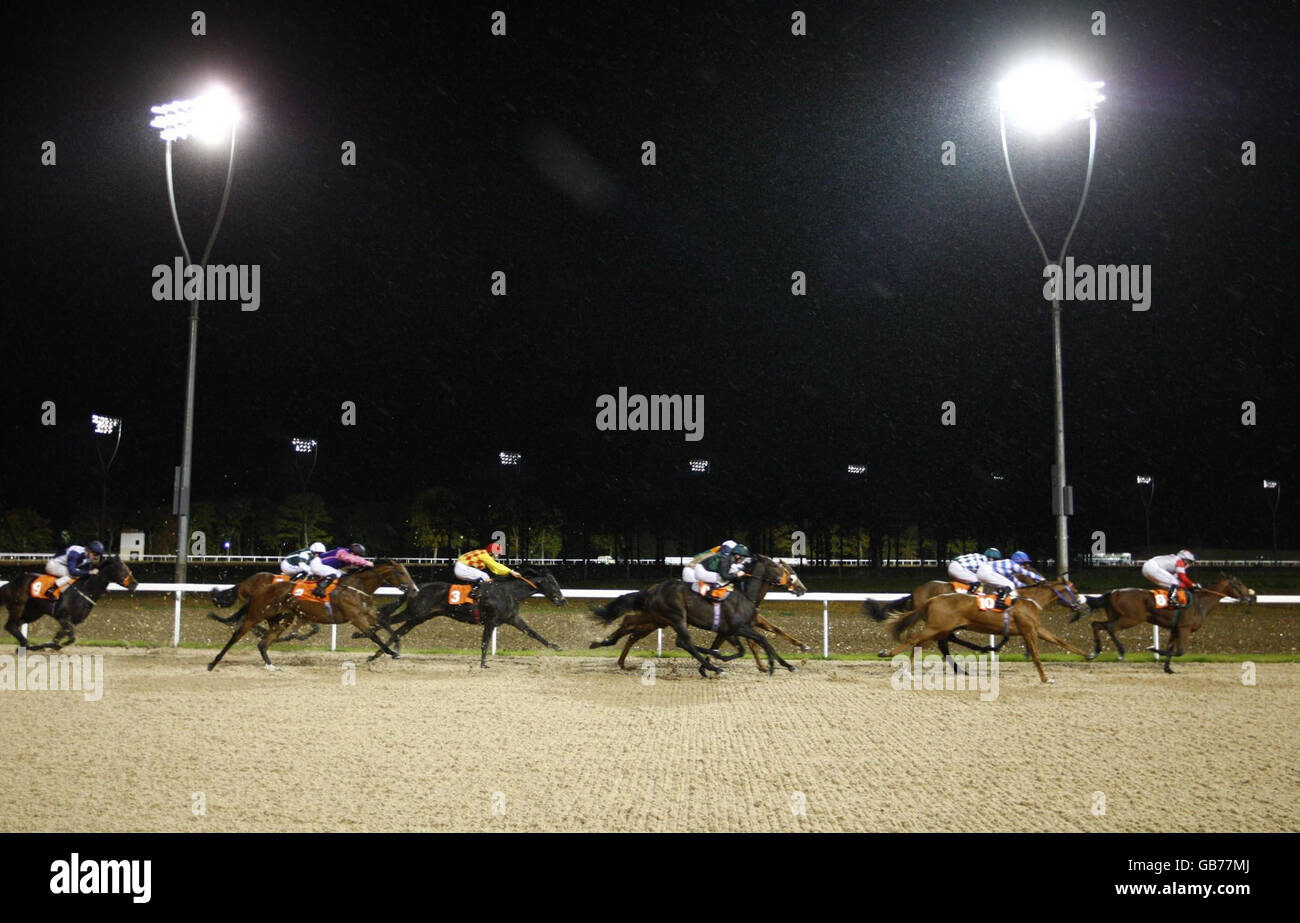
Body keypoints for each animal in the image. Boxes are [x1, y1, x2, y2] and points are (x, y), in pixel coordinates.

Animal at [1, 556, 137, 650]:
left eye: (128, 568)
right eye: (122, 569)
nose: (135, 584)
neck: (85, 589)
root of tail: (10, 583)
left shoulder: (72, 621)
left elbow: (61, 636)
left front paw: (51, 645)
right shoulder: (62, 617)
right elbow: (71, 637)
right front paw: (53, 645)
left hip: (34, 612)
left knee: (16, 624)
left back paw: (26, 645)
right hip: (18, 606)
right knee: (10, 625)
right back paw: (27, 644)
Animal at [206, 556, 416, 670]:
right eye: (401, 573)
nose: (414, 590)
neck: (356, 586)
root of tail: (256, 587)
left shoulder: (367, 613)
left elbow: (386, 625)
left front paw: (395, 648)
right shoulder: (356, 617)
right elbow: (373, 634)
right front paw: (389, 652)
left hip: (281, 619)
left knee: (263, 643)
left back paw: (271, 666)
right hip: (256, 614)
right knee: (237, 635)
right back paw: (213, 663)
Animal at [366, 566, 569, 670]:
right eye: (552, 582)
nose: (563, 600)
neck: (507, 593)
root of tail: (418, 587)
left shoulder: (513, 618)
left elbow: (533, 634)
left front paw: (556, 646)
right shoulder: (491, 620)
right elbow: (485, 641)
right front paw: (483, 663)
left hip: (419, 617)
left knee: (398, 631)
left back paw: (378, 654)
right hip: (414, 613)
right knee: (385, 621)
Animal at [873, 595, 1086, 681]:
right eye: (1071, 589)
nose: (1081, 605)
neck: (1027, 603)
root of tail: (931, 600)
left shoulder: (1037, 629)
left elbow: (1060, 641)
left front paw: (1087, 654)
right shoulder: (1029, 631)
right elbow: (1036, 656)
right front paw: (1045, 678)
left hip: (939, 629)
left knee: (920, 645)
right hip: (936, 628)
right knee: (913, 641)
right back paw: (887, 653)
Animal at [1071, 574, 1253, 676]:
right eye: (1239, 584)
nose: (1249, 597)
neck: (1200, 603)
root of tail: (1113, 592)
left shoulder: (1175, 629)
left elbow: (1171, 648)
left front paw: (1168, 668)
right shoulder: (1184, 629)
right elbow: (1180, 651)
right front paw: (1153, 649)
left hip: (1117, 616)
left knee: (1096, 624)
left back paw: (1095, 652)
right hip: (1131, 618)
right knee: (1109, 628)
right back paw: (1121, 652)